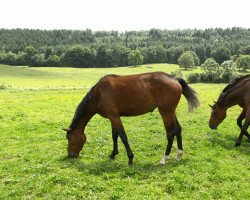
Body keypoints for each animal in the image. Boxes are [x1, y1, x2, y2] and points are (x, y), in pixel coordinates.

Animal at [63, 71, 200, 164]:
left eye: (69, 138)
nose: (71, 155)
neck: (99, 93)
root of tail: (174, 78)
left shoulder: (114, 117)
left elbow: (123, 136)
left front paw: (130, 158)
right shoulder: (113, 117)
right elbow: (115, 136)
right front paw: (113, 154)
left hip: (165, 112)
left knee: (170, 133)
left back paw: (164, 158)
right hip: (171, 112)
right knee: (178, 130)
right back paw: (178, 155)